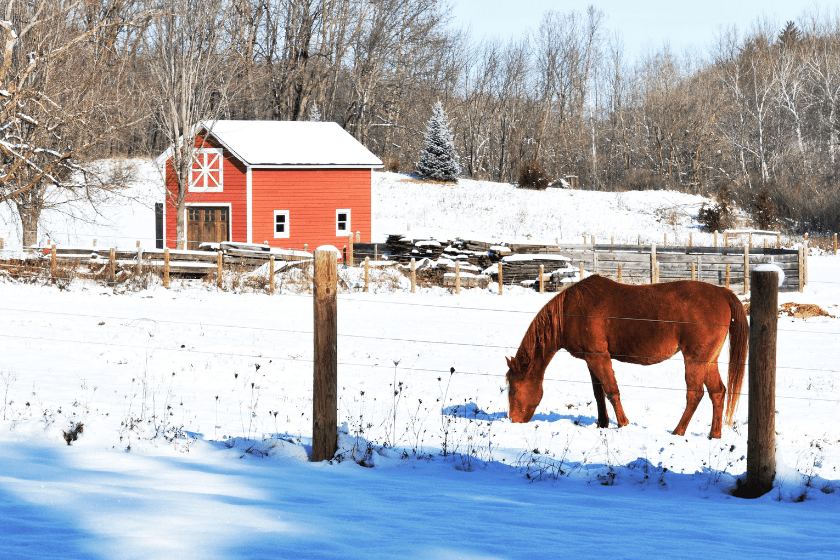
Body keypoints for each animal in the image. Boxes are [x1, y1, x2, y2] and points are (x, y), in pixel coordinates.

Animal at [506, 274, 748, 438]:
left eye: (514, 390)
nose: (513, 420)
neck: (570, 313)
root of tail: (722, 293)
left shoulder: (599, 357)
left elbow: (612, 391)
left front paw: (623, 424)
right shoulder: (591, 360)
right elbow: (598, 393)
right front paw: (602, 424)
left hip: (695, 360)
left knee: (695, 395)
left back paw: (678, 432)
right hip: (709, 360)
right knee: (718, 392)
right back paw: (714, 435)